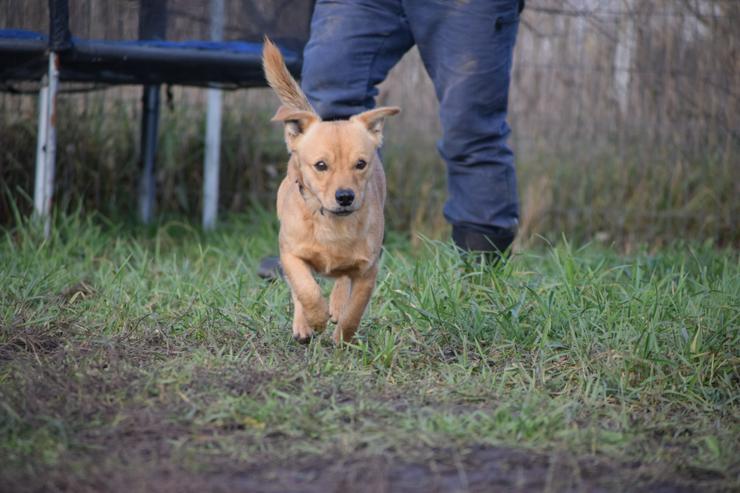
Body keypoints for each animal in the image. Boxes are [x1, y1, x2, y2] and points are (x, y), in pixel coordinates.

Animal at [262, 37, 398, 342]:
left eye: (361, 164)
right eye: (321, 165)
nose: (345, 196)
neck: (332, 225)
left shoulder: (368, 270)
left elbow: (354, 310)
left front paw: (342, 338)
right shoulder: (291, 255)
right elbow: (306, 289)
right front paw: (314, 319)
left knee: (342, 283)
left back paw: (334, 307)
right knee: (299, 289)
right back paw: (304, 325)